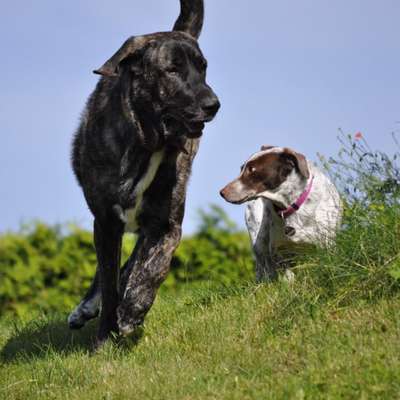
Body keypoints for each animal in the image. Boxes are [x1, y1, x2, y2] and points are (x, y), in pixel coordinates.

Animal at [68, 0, 219, 346]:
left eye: (203, 67)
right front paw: (104, 337)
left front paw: (133, 310)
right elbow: (109, 281)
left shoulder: (167, 225)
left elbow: (154, 269)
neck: (148, 144)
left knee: (136, 259)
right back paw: (87, 307)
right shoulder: (106, 223)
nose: (213, 104)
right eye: (172, 69)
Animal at [220, 146, 342, 282]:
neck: (291, 205)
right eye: (242, 168)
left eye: (251, 169)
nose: (222, 192)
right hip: (259, 243)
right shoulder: (280, 251)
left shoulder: (326, 244)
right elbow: (287, 279)